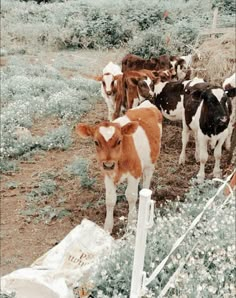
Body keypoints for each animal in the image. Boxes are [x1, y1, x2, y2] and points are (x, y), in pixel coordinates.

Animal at [76, 101, 163, 234]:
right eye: (96, 142)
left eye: (119, 141)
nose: (108, 164)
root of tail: (147, 103)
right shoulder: (108, 175)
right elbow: (110, 199)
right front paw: (107, 228)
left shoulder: (135, 172)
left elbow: (131, 196)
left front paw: (131, 224)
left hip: (151, 162)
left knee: (147, 180)